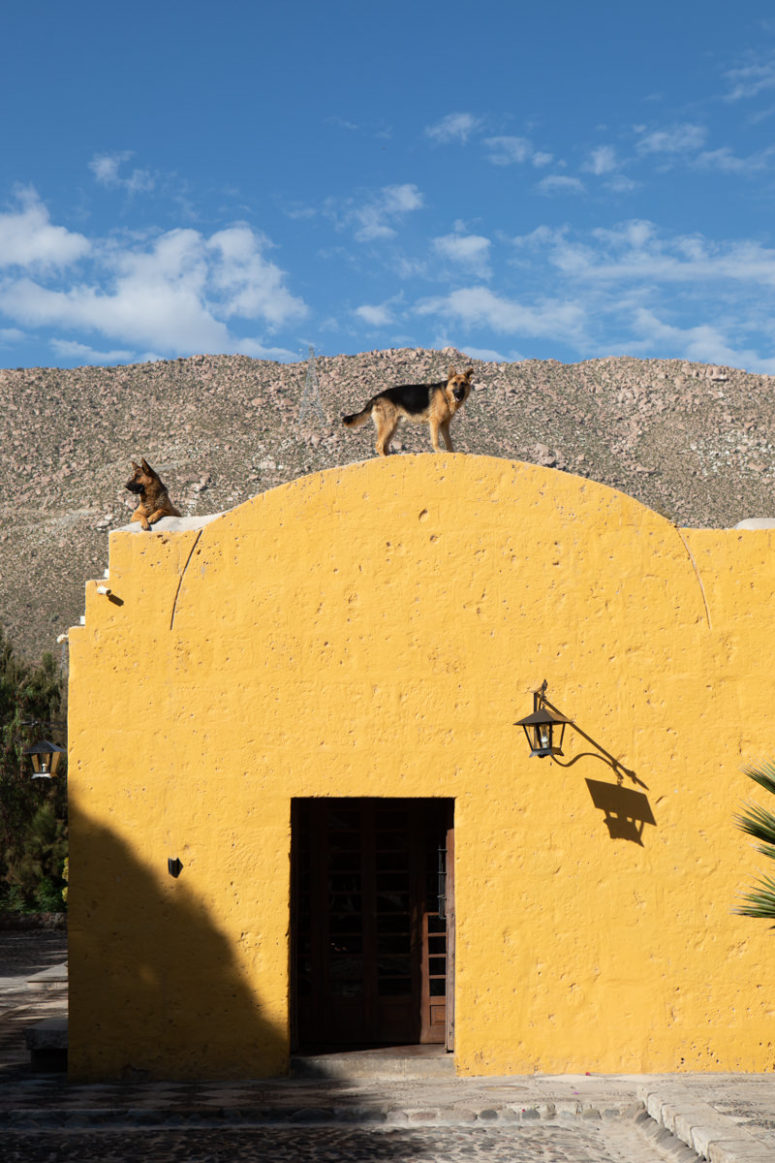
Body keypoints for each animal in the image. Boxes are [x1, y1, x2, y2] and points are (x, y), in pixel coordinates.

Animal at [342, 365, 474, 455]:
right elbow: (435, 440)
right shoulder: (435, 422)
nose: (458, 394)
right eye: (455, 383)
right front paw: (439, 451)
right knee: (378, 445)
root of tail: (376, 397)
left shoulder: (444, 425)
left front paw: (452, 453)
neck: (445, 394)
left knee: (384, 446)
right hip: (388, 425)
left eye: (463, 384)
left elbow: (449, 442)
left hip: (392, 427)